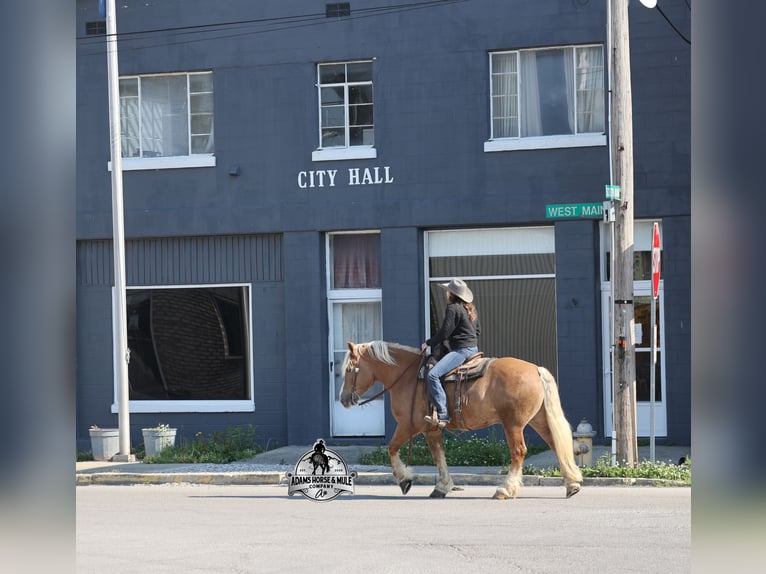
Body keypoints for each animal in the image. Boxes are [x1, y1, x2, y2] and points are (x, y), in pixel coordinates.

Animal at [339, 341, 583, 499]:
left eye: (350, 369)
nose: (343, 399)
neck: (407, 377)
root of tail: (535, 369)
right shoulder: (431, 429)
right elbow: (439, 457)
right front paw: (442, 487)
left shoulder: (408, 425)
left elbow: (392, 448)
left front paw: (405, 481)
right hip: (538, 420)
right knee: (556, 444)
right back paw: (572, 484)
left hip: (513, 425)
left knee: (519, 452)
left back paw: (505, 490)